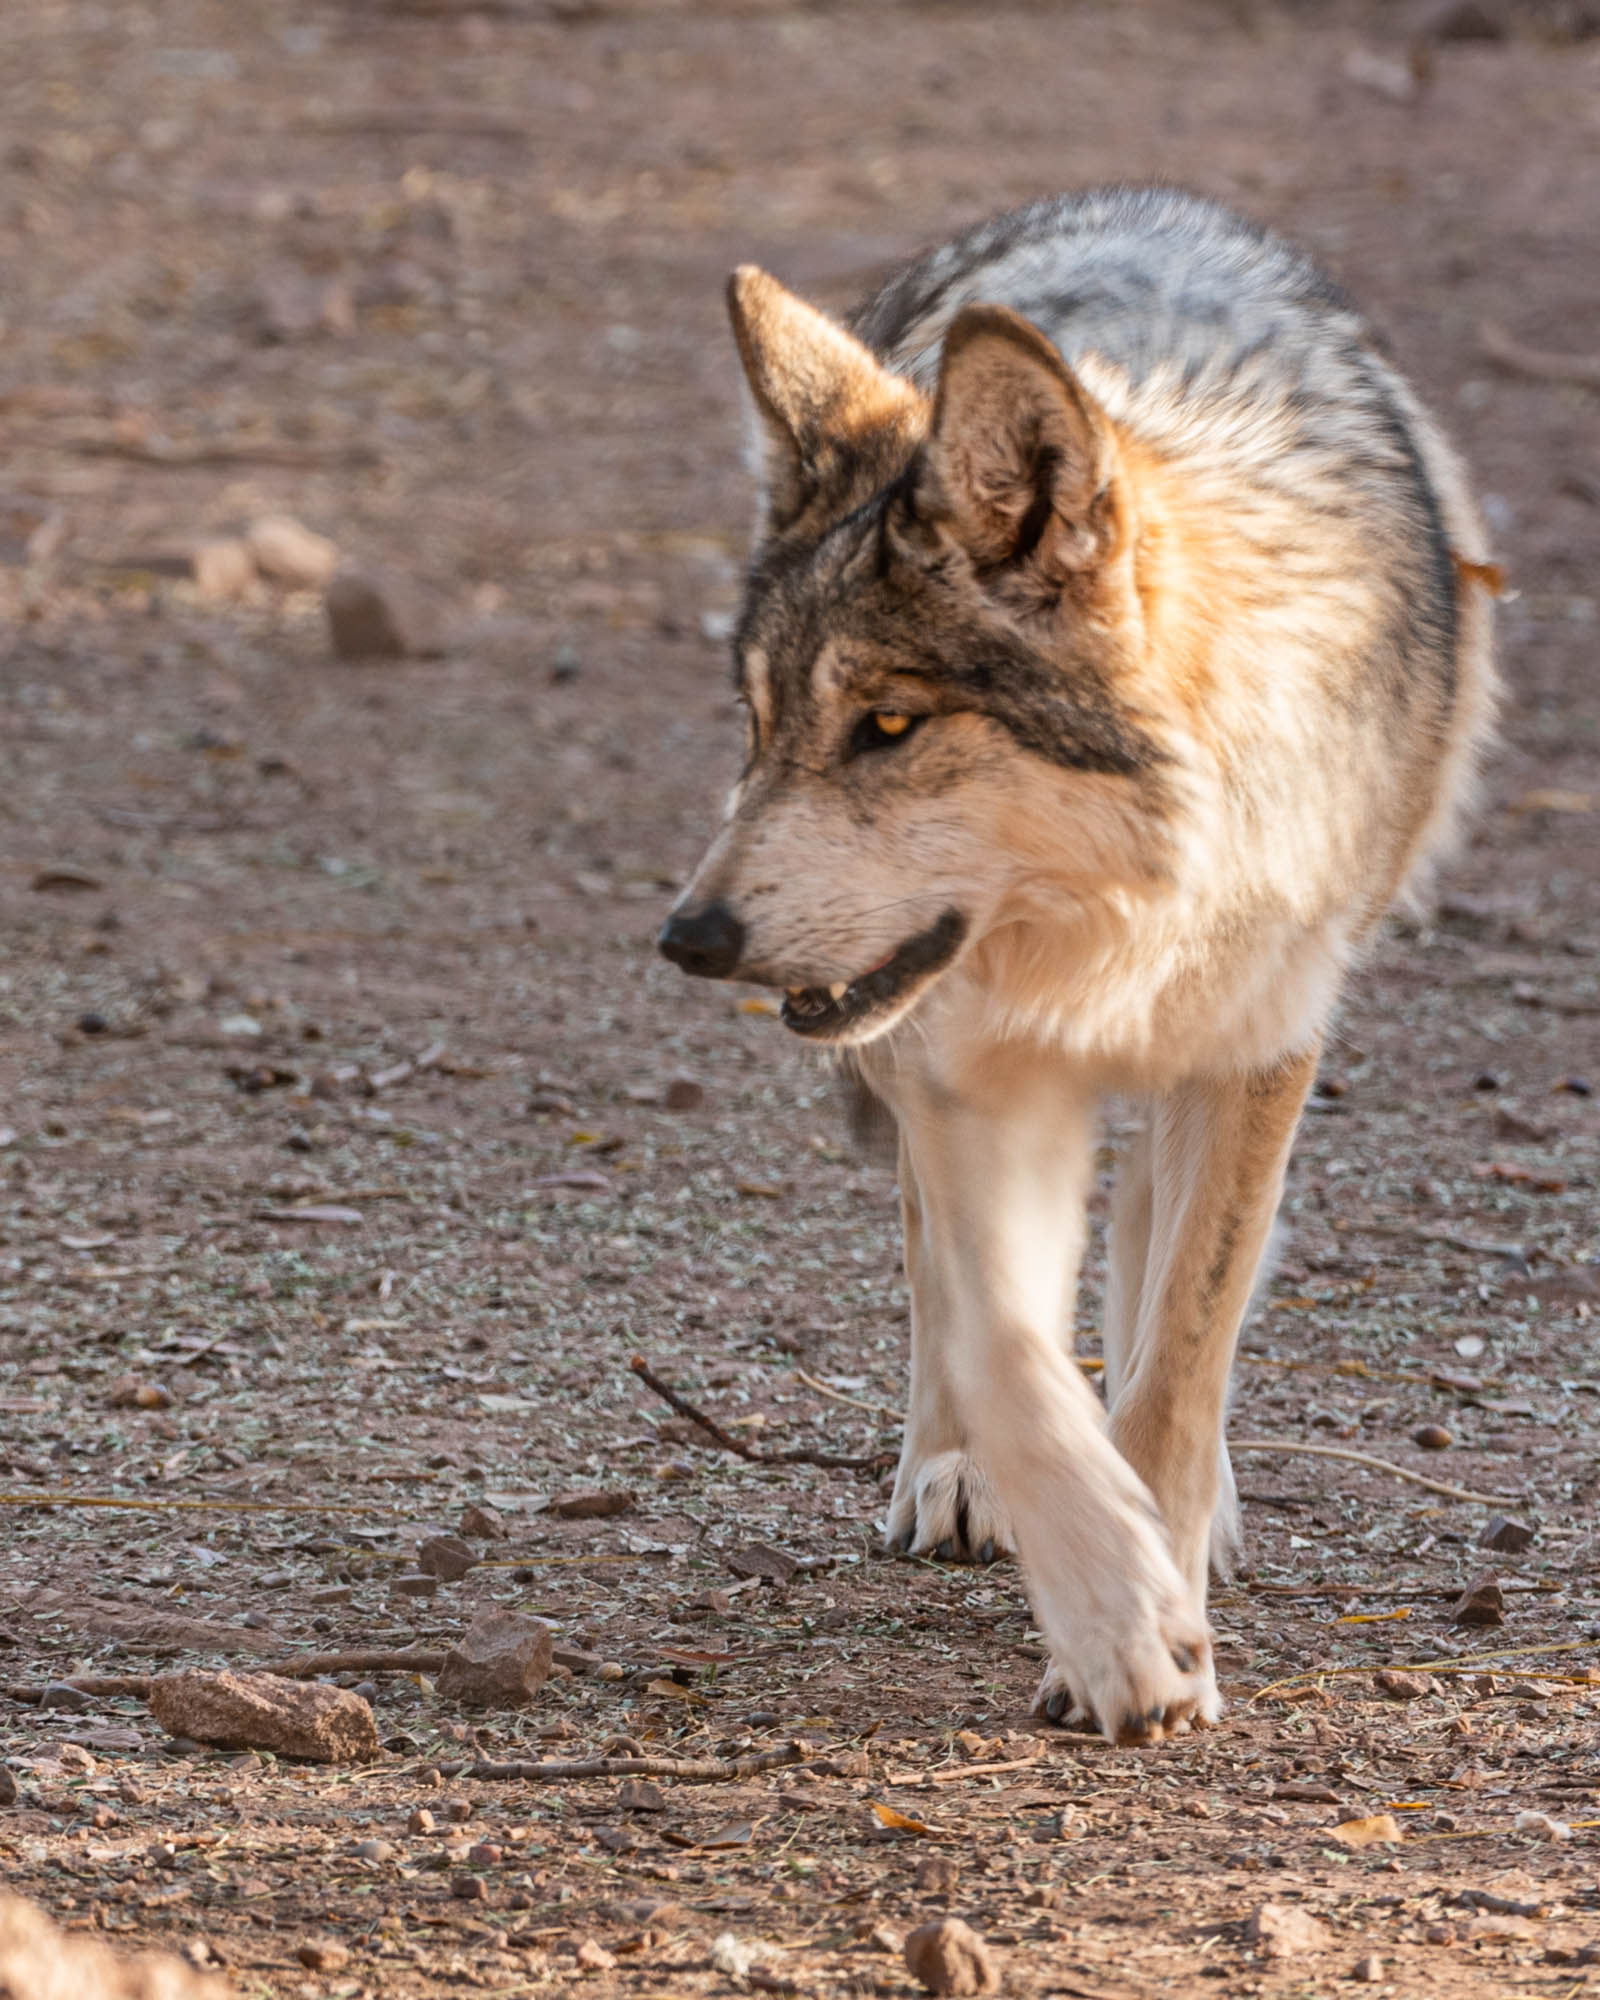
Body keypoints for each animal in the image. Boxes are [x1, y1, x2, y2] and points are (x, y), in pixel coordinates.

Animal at [657, 187, 1498, 1743]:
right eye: (757, 722)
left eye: (889, 724)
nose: (690, 939)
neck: (1117, 917)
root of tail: (1134, 203)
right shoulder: (972, 1072)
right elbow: (1003, 1341)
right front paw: (1116, 1622)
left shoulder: (1259, 1048)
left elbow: (1177, 1349)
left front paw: (1158, 1592)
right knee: (940, 1263)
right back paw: (953, 1477)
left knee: (1159, 1256)